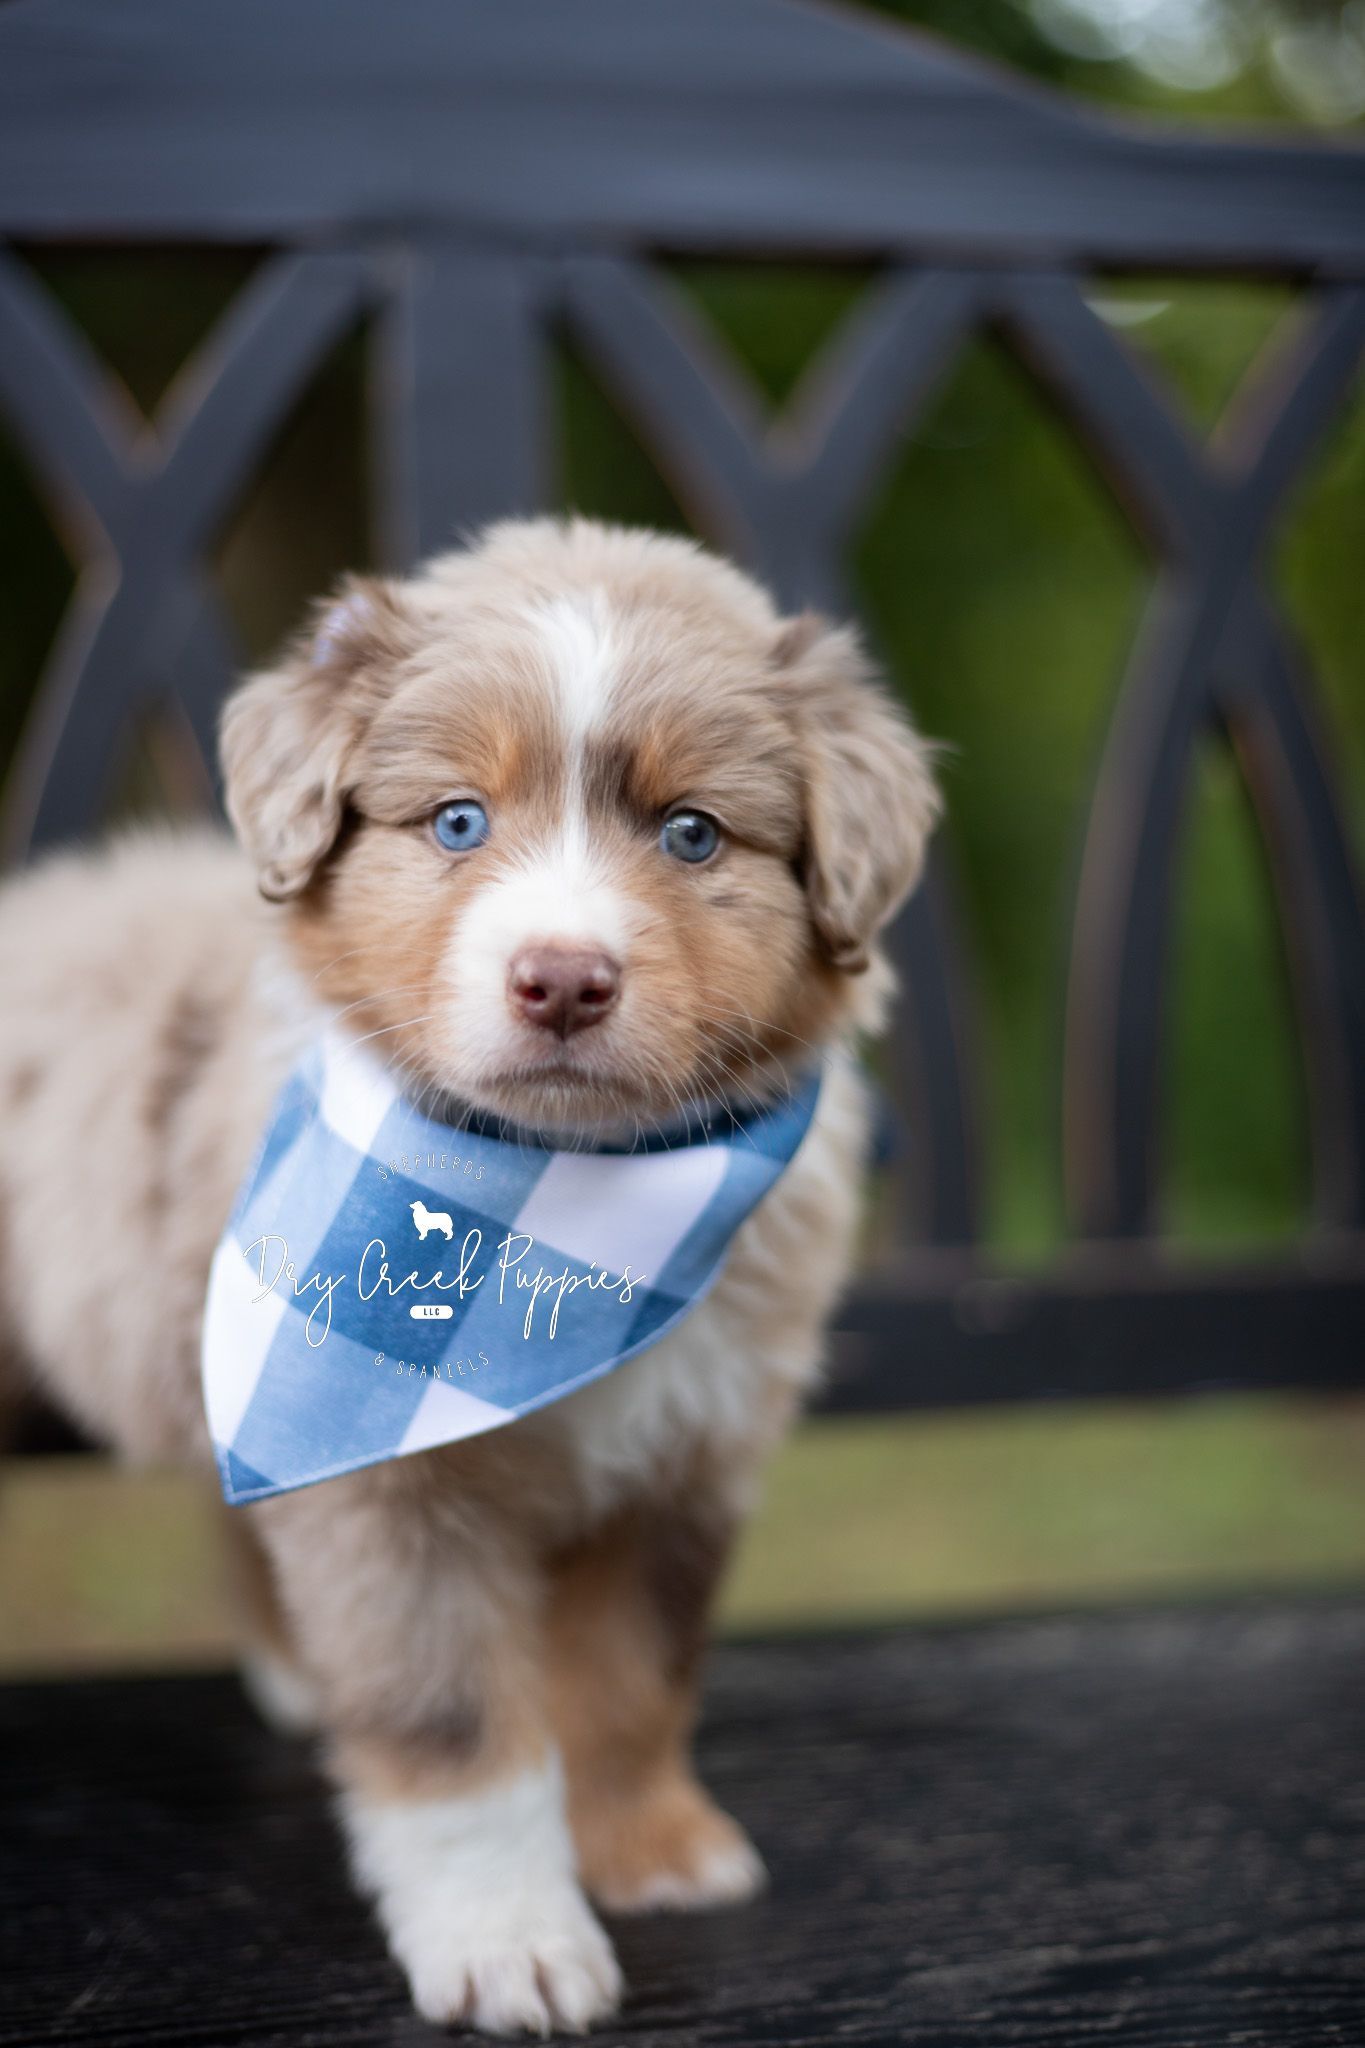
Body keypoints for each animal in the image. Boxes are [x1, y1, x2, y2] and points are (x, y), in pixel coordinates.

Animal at [0, 516, 941, 2031]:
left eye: (692, 832)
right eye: (455, 821)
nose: (562, 979)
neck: (559, 1222)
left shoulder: (690, 1455)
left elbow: (631, 1677)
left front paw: (647, 1850)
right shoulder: (385, 1483)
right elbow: (453, 1729)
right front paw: (513, 1939)